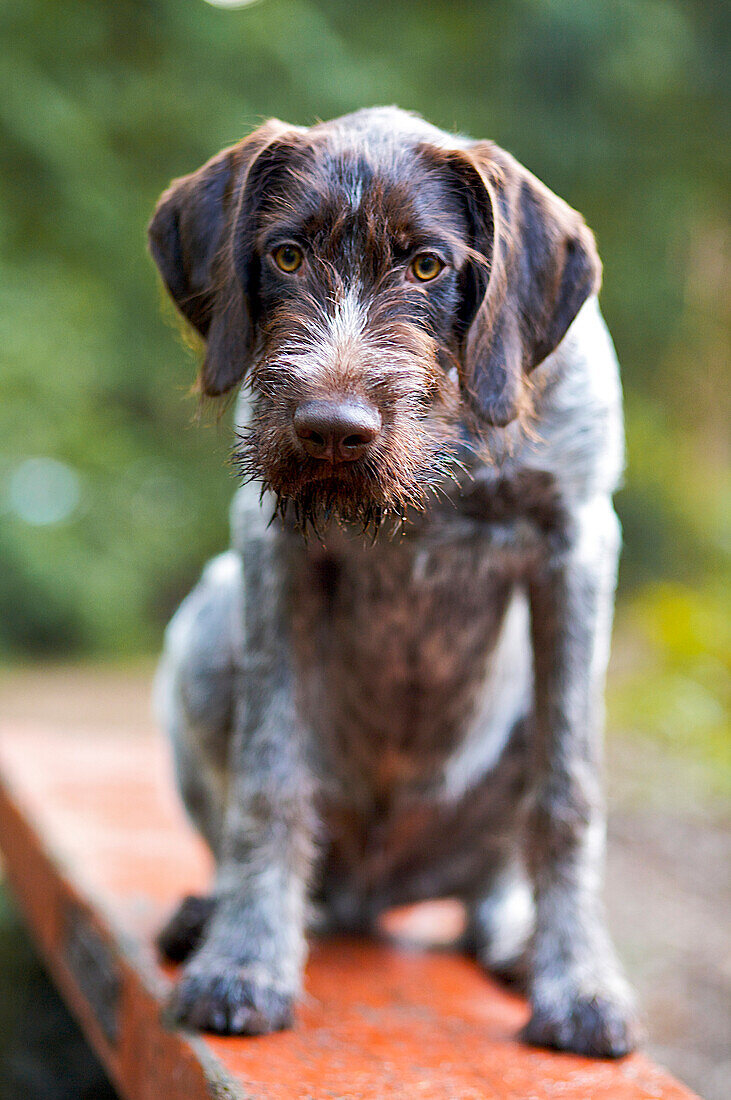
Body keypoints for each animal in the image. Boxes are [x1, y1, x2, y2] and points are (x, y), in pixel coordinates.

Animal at [148, 105, 637, 1056]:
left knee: (491, 884)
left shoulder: (576, 546)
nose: (331, 431)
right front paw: (245, 961)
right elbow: (268, 780)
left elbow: (567, 793)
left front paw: (579, 982)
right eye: (285, 255)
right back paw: (217, 912)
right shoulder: (271, 551)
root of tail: (372, 897)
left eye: (426, 265)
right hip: (210, 622)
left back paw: (517, 940)